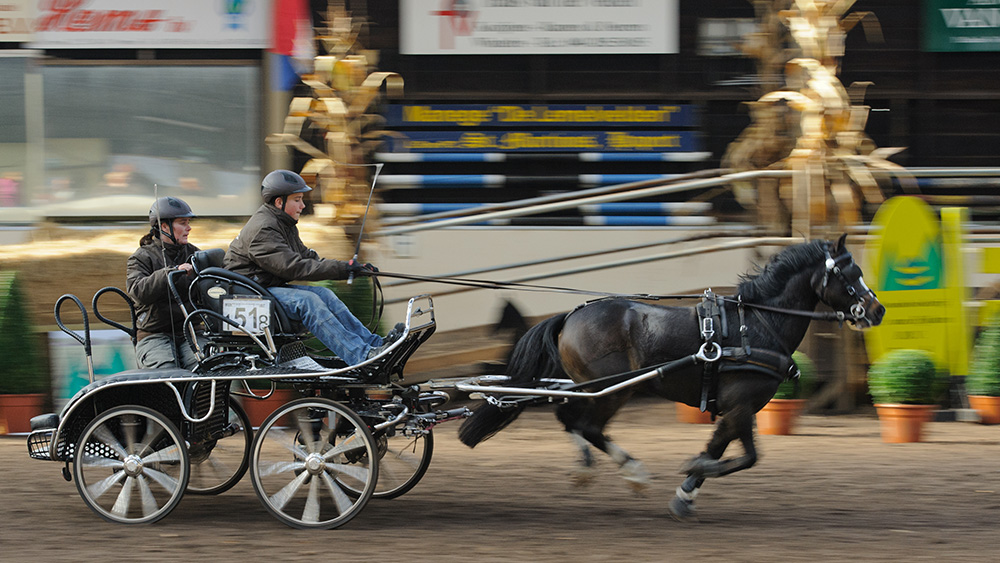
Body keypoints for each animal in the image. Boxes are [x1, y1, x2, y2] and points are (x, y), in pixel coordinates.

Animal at [458, 234, 888, 520]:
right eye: (850, 273)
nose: (878, 310)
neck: (756, 326)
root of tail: (570, 316)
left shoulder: (737, 408)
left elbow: (721, 449)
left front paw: (685, 495)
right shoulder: (741, 405)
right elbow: (746, 457)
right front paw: (692, 469)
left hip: (600, 388)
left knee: (572, 420)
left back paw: (600, 469)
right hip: (611, 388)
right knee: (583, 424)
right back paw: (626, 472)